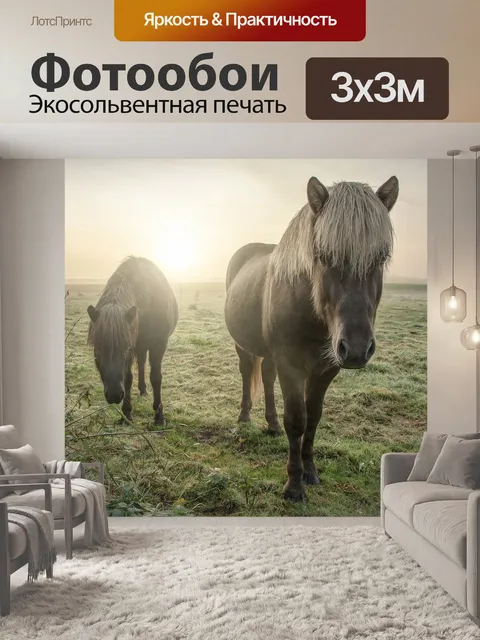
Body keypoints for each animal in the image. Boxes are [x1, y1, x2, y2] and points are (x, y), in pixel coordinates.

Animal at [87, 256, 178, 427]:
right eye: (97, 349)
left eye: (125, 346)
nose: (114, 395)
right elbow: (128, 378)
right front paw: (127, 413)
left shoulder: (158, 345)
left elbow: (156, 377)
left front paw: (159, 416)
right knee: (141, 364)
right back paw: (142, 390)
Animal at [224, 176, 399, 502]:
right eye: (323, 255)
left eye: (382, 257)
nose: (357, 348)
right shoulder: (291, 366)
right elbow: (297, 420)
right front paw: (294, 485)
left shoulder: (326, 369)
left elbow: (314, 418)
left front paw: (310, 471)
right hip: (244, 346)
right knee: (246, 373)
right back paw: (244, 418)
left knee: (266, 376)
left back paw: (271, 425)